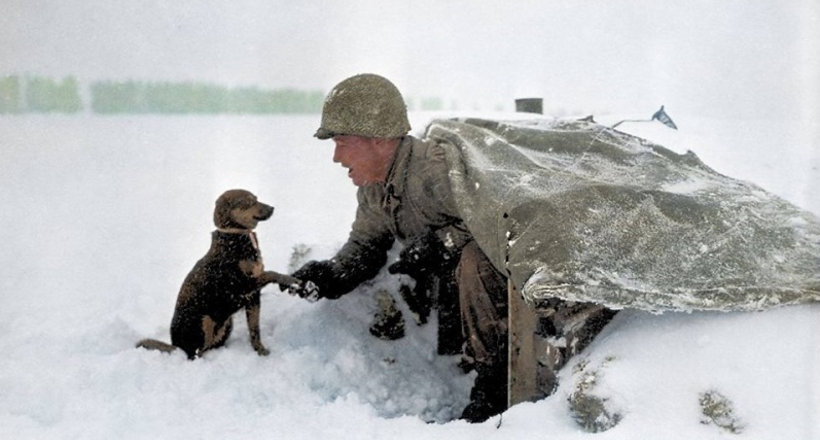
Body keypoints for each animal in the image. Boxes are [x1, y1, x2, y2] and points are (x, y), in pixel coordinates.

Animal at [137, 188, 298, 358]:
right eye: (248, 202)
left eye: (256, 198)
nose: (272, 208)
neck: (234, 236)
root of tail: (176, 346)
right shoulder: (242, 284)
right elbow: (270, 273)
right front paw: (288, 279)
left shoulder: (253, 298)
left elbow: (254, 330)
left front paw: (260, 351)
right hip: (205, 321)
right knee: (197, 352)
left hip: (227, 323)